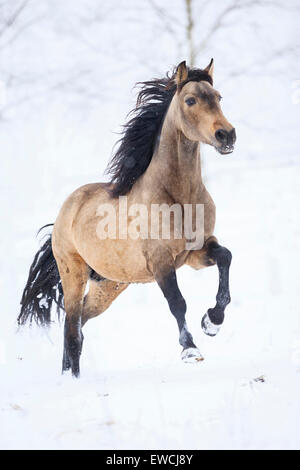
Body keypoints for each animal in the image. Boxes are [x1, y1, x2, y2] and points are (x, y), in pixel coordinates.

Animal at [18, 58, 237, 376]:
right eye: (190, 100)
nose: (227, 136)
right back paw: (72, 378)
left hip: (109, 285)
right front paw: (190, 349)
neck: (179, 198)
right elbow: (177, 302)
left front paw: (212, 322)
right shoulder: (160, 261)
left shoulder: (195, 253)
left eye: (218, 97)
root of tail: (65, 212)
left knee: (79, 323)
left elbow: (226, 258)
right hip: (74, 275)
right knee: (72, 328)